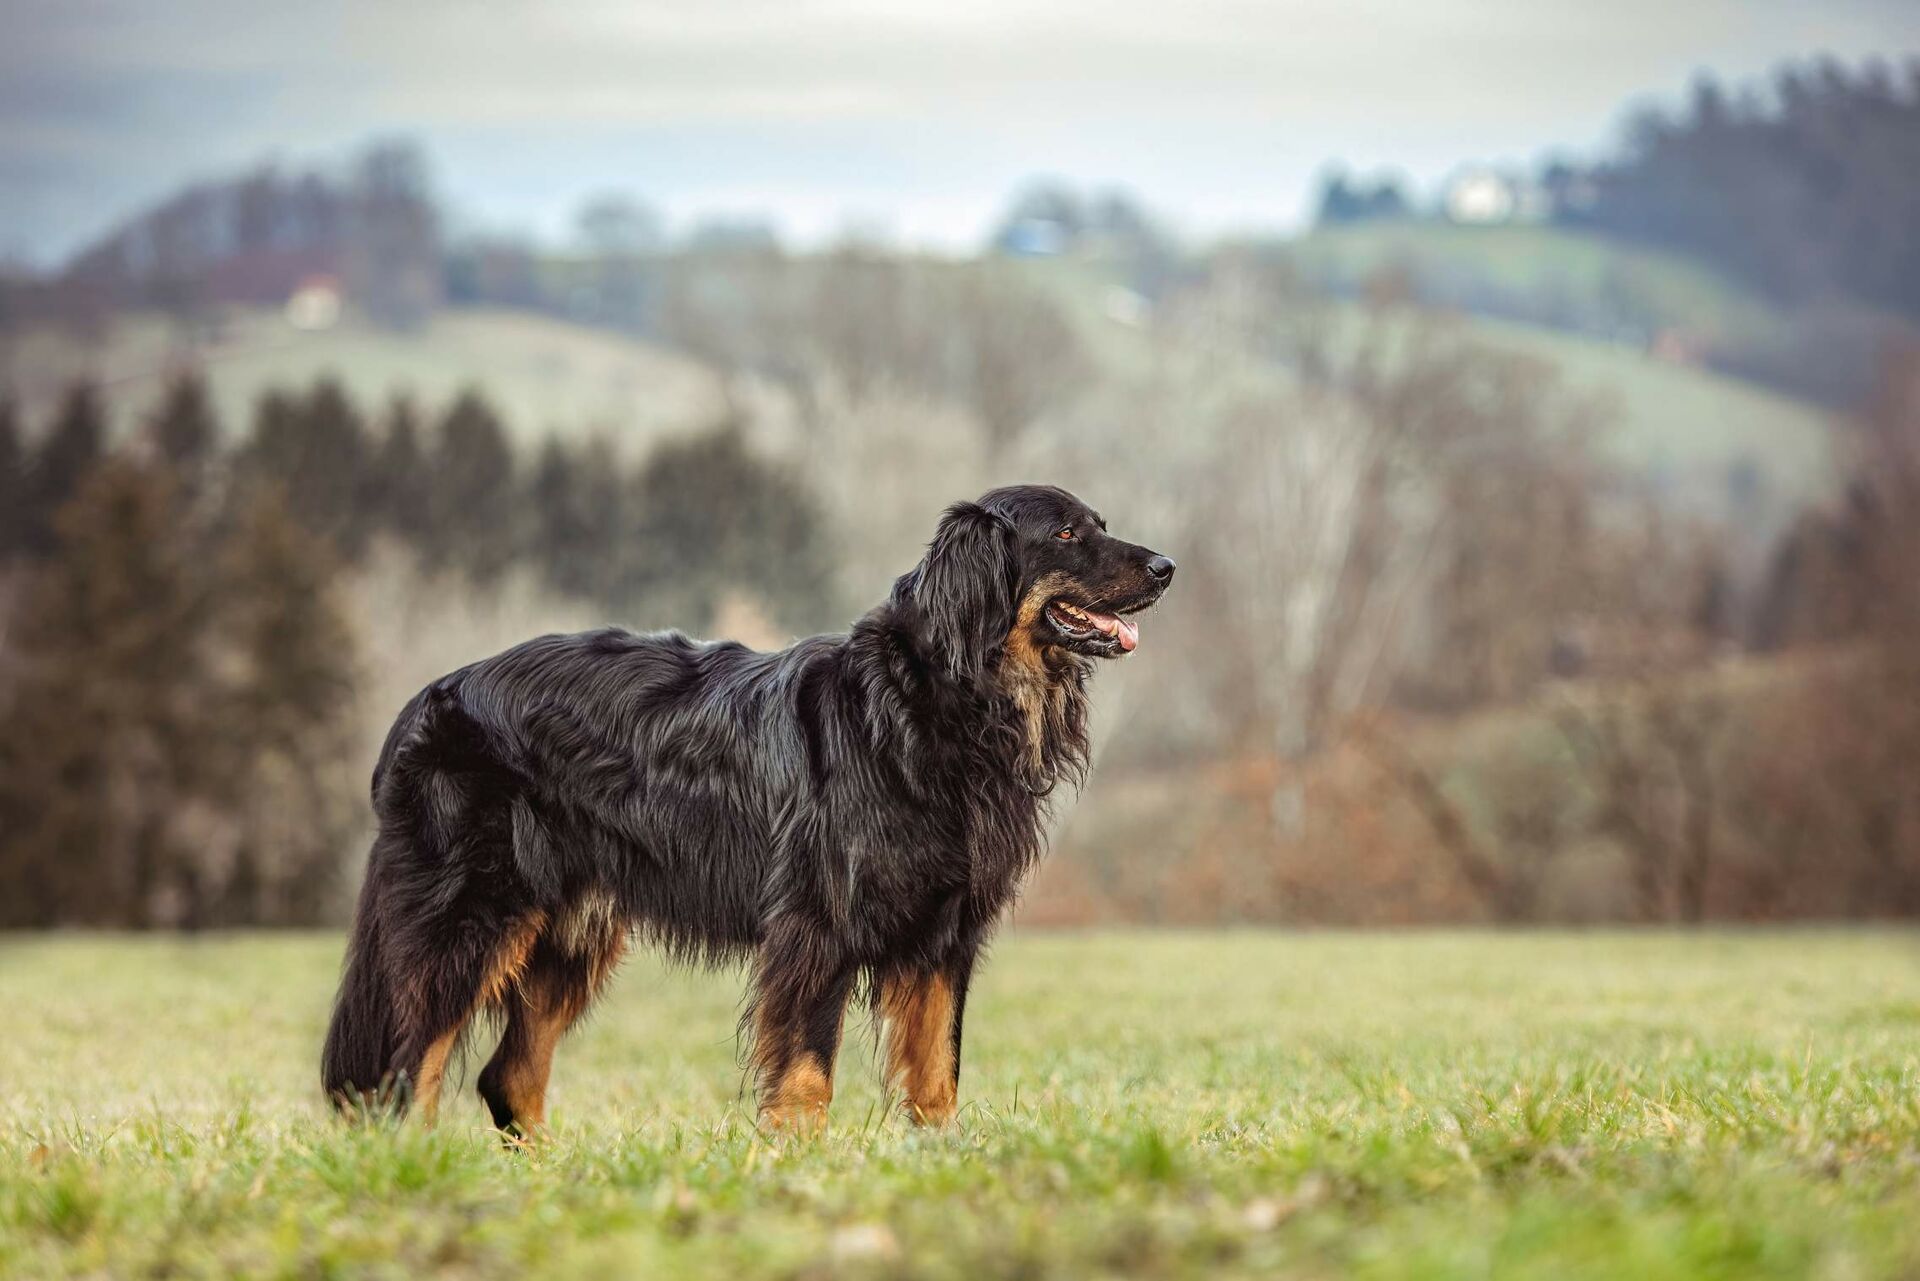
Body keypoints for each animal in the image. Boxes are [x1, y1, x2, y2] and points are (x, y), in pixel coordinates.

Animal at [318, 480, 1167, 1129]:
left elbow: (937, 1074)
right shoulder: (818, 924)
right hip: (470, 914)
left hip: (571, 928)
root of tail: (423, 700)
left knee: (508, 1075)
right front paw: (799, 1168)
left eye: (1099, 523)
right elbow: (806, 1074)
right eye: (1067, 532)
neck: (931, 697)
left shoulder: (943, 930)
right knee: (408, 1067)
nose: (1167, 565)